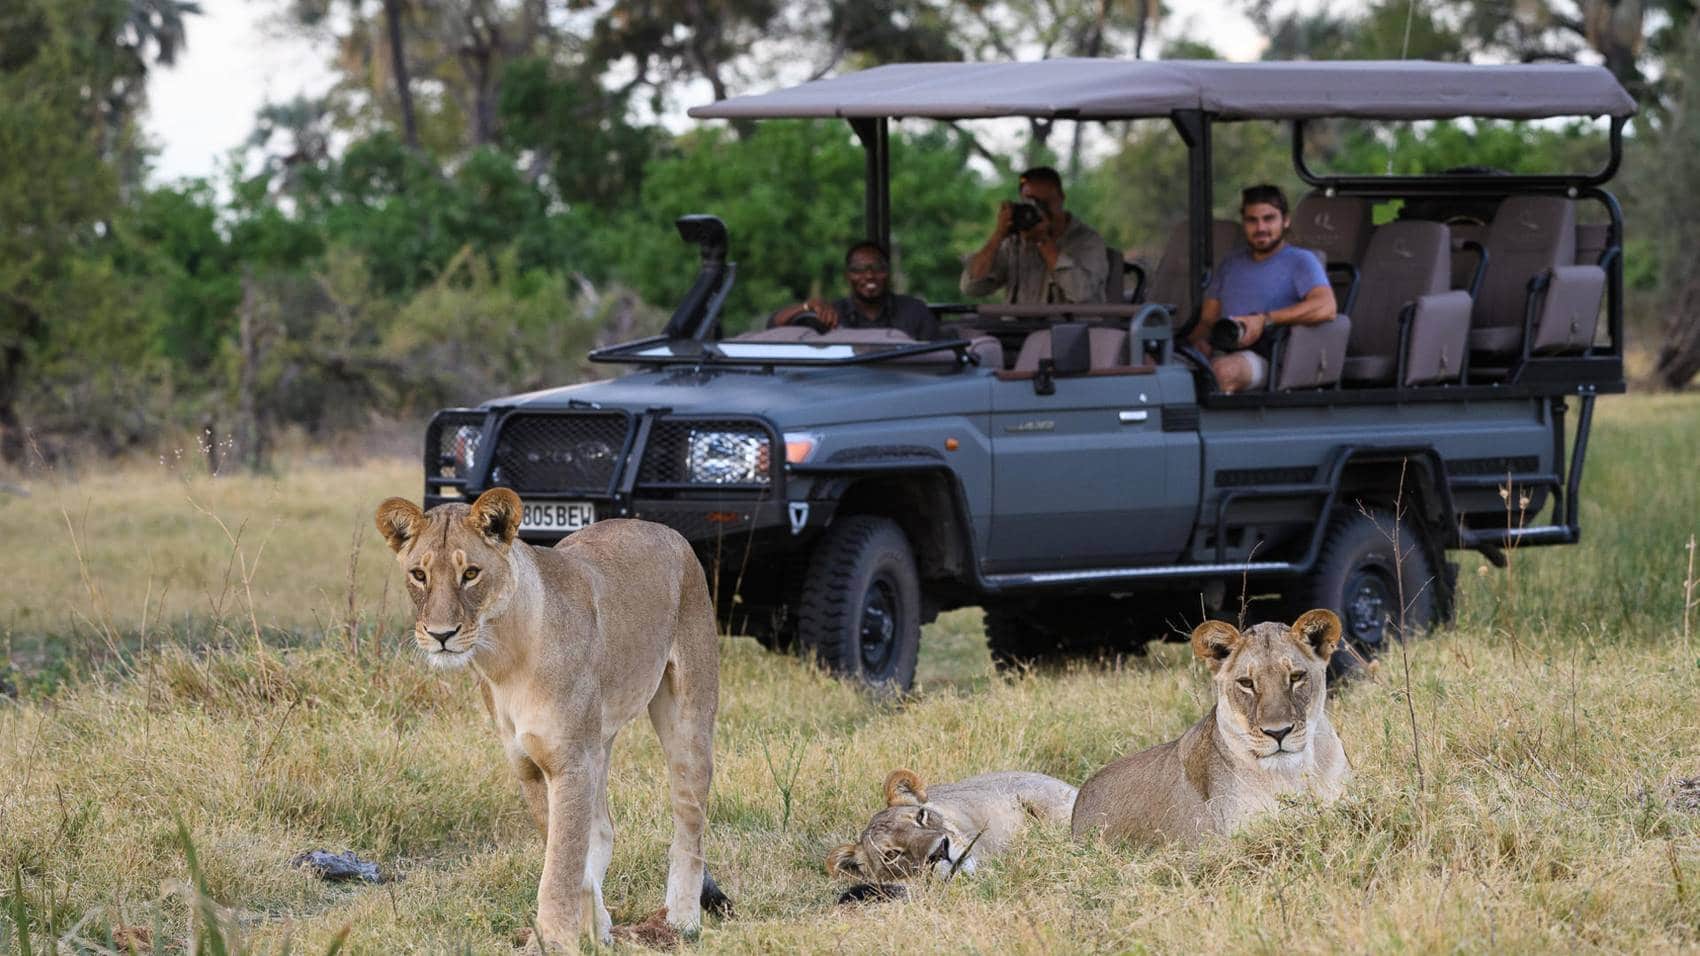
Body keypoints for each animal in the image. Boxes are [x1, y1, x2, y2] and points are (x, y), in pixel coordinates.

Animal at [375, 489, 727, 945]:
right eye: (419, 574)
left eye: (470, 573)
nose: (440, 635)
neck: (502, 658)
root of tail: (664, 529)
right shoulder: (529, 765)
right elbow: (570, 853)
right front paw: (593, 930)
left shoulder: (570, 762)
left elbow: (560, 865)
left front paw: (556, 940)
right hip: (599, 738)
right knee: (603, 829)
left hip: (687, 717)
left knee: (689, 818)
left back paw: (682, 920)